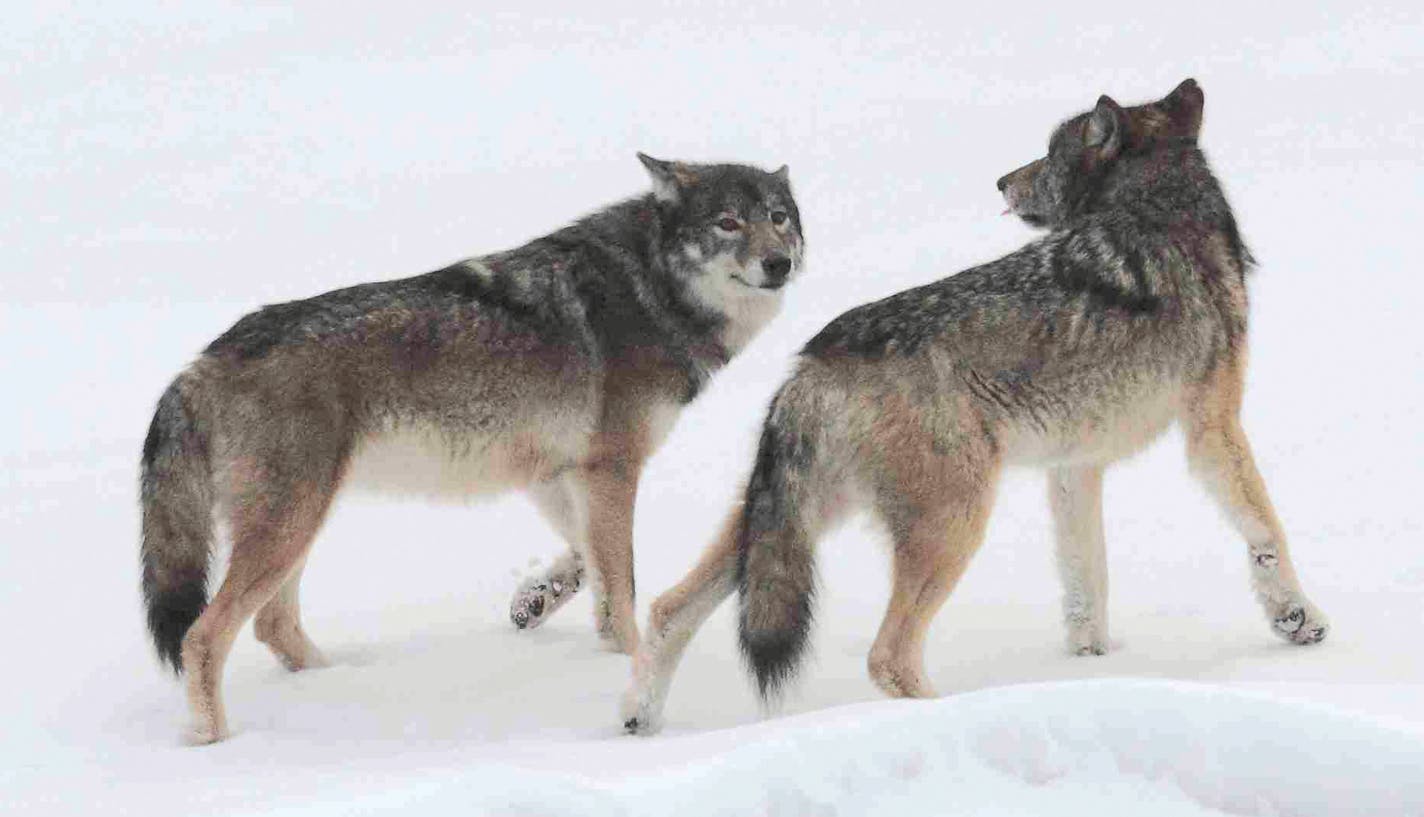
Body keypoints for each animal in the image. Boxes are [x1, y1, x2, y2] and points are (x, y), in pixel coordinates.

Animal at [138, 155, 808, 751]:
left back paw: (343, 685)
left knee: (272, 625)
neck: (650, 286)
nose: (779, 263)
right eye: (727, 222)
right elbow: (621, 588)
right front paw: (622, 662)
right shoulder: (612, 469)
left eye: (778, 217)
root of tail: (198, 364)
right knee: (202, 637)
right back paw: (215, 742)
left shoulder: (554, 473)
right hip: (291, 523)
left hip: (301, 523)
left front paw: (536, 602)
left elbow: (586, 560)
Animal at [618, 81, 1327, 734]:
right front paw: (1298, 619)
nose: (1002, 180)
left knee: (668, 608)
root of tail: (813, 361)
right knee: (887, 658)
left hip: (784, 526)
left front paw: (1093, 665)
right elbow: (1267, 528)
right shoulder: (1212, 427)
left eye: (1047, 154)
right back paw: (959, 717)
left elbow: (1086, 584)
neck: (1161, 209)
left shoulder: (1075, 467)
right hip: (956, 522)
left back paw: (638, 719)